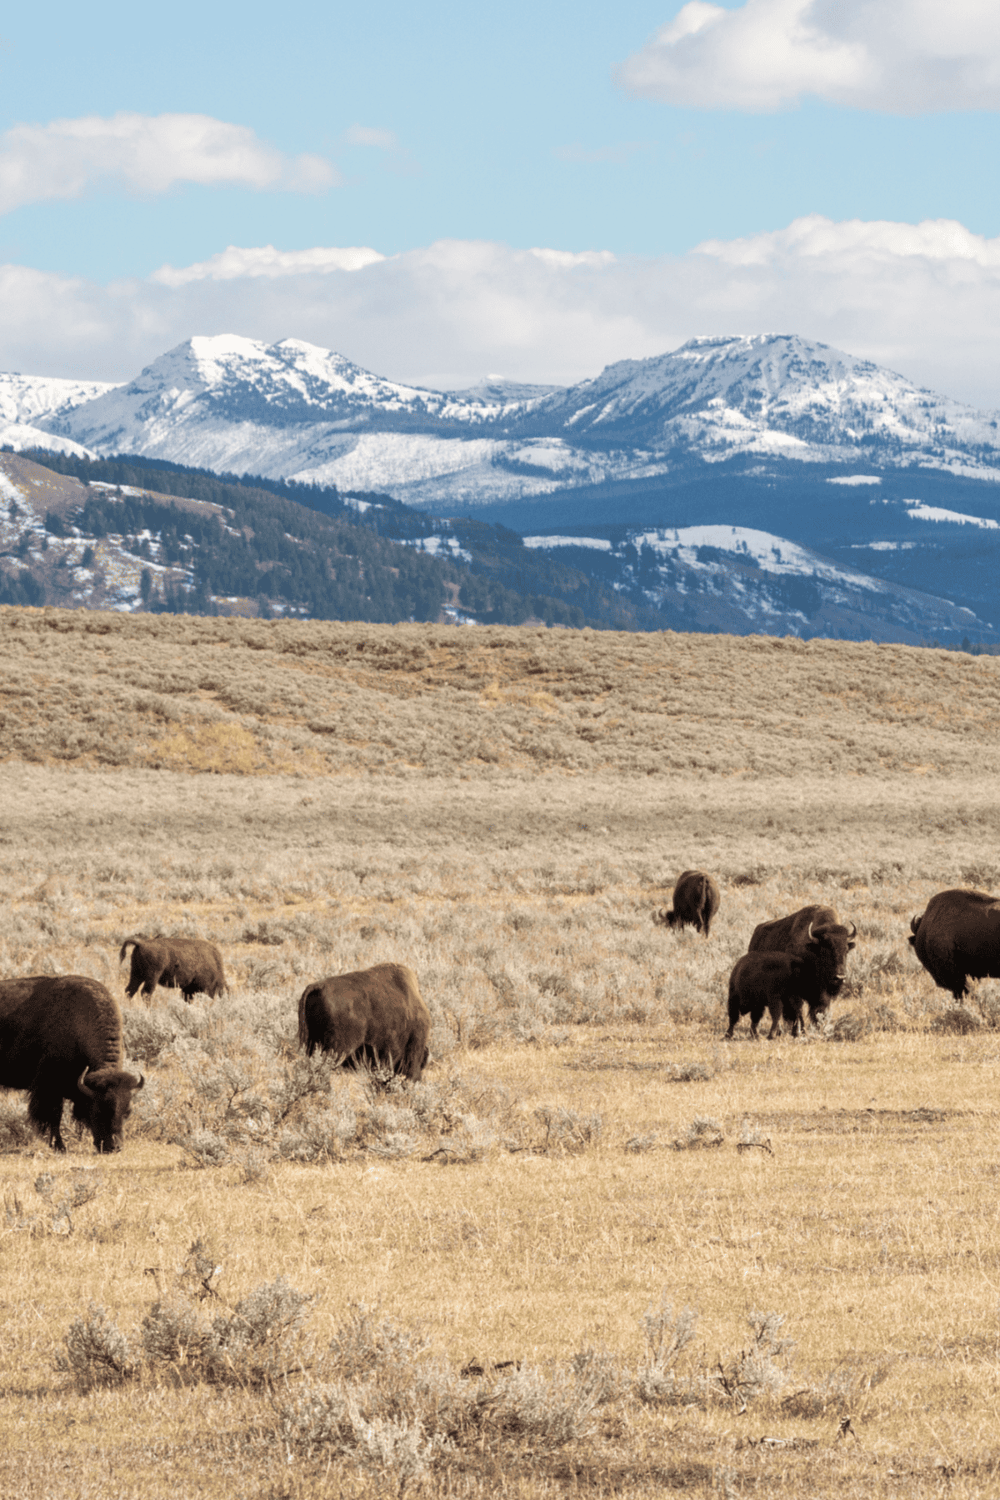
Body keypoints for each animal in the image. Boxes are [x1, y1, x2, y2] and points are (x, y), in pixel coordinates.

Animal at [0, 975, 143, 1152]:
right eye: (97, 1110)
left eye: (128, 1111)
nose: (114, 1147)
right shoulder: (49, 1087)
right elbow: (54, 1116)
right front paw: (60, 1147)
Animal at [747, 904, 856, 1033]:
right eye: (824, 951)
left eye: (846, 950)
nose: (839, 977)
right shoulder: (795, 993)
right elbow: (798, 1012)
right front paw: (799, 1031)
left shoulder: (821, 996)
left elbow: (819, 1012)